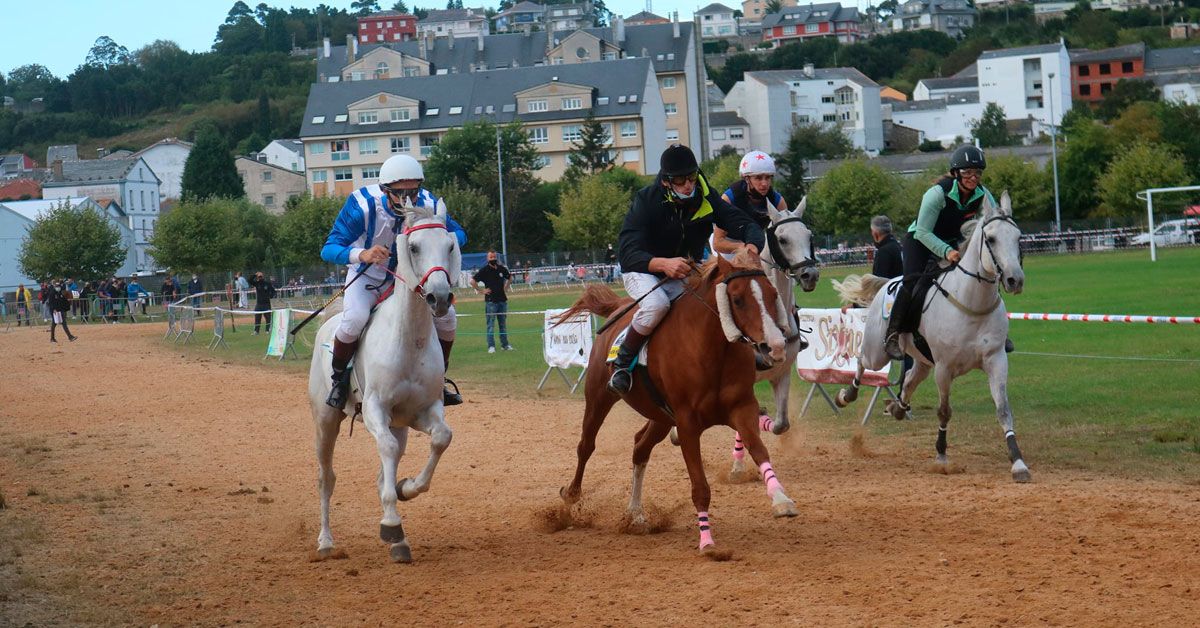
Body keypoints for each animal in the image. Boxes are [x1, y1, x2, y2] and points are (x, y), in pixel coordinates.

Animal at [307, 202, 460, 564]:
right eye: (414, 247)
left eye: (450, 245)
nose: (440, 297)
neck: (409, 340)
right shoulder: (376, 410)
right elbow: (386, 449)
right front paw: (391, 522)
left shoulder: (424, 410)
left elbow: (441, 439)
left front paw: (406, 488)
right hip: (326, 421)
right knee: (326, 478)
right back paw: (326, 542)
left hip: (400, 425)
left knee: (382, 473)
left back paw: (399, 540)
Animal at [559, 253, 796, 557]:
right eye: (738, 299)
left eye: (772, 294)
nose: (775, 346)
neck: (711, 350)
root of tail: (618, 308)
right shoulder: (687, 424)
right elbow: (700, 487)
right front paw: (707, 542)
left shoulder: (741, 408)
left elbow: (759, 450)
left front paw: (781, 498)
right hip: (599, 398)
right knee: (586, 445)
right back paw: (572, 496)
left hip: (660, 417)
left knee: (640, 448)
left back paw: (635, 514)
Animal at [830, 190, 1027, 482]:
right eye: (991, 239)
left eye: (1018, 237)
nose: (1015, 280)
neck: (972, 304)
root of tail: (888, 282)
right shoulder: (944, 368)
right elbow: (944, 411)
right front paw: (942, 455)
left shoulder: (996, 360)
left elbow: (1003, 410)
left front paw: (1018, 462)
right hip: (879, 352)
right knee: (862, 361)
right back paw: (847, 395)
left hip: (923, 361)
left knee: (911, 378)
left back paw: (897, 407)